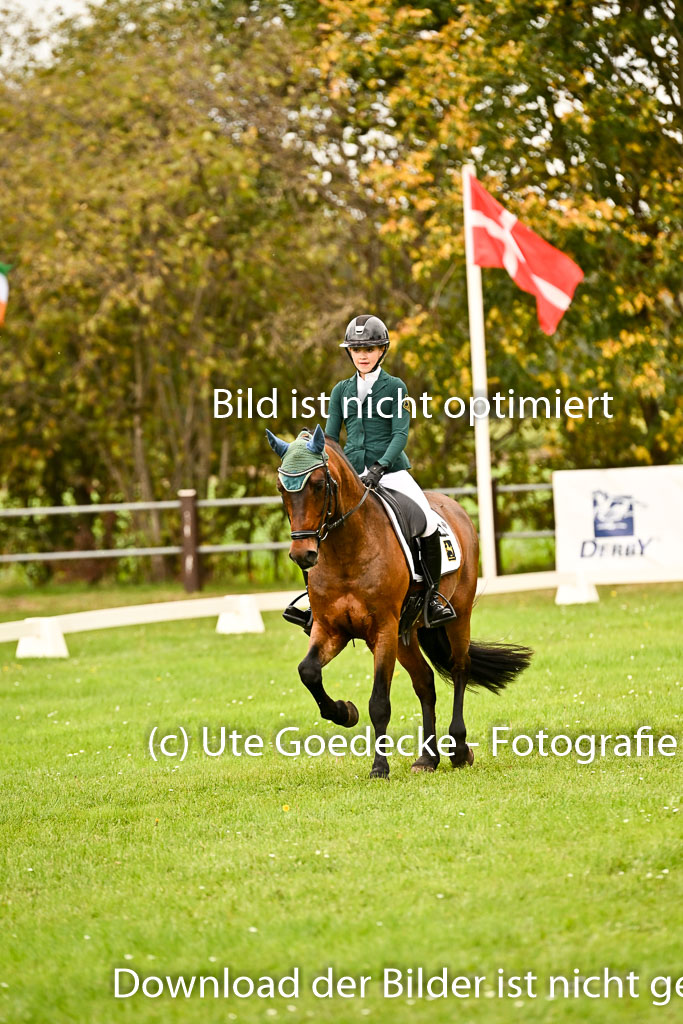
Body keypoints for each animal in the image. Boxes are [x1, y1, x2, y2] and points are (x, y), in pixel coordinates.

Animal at [267, 424, 532, 779]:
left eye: (319, 484)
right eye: (282, 488)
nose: (302, 554)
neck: (347, 550)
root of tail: (453, 506)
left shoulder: (383, 629)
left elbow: (379, 702)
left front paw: (379, 767)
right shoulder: (331, 628)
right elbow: (308, 671)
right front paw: (343, 712)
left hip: (457, 616)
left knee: (460, 669)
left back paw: (459, 749)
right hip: (406, 634)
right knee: (425, 682)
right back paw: (427, 759)